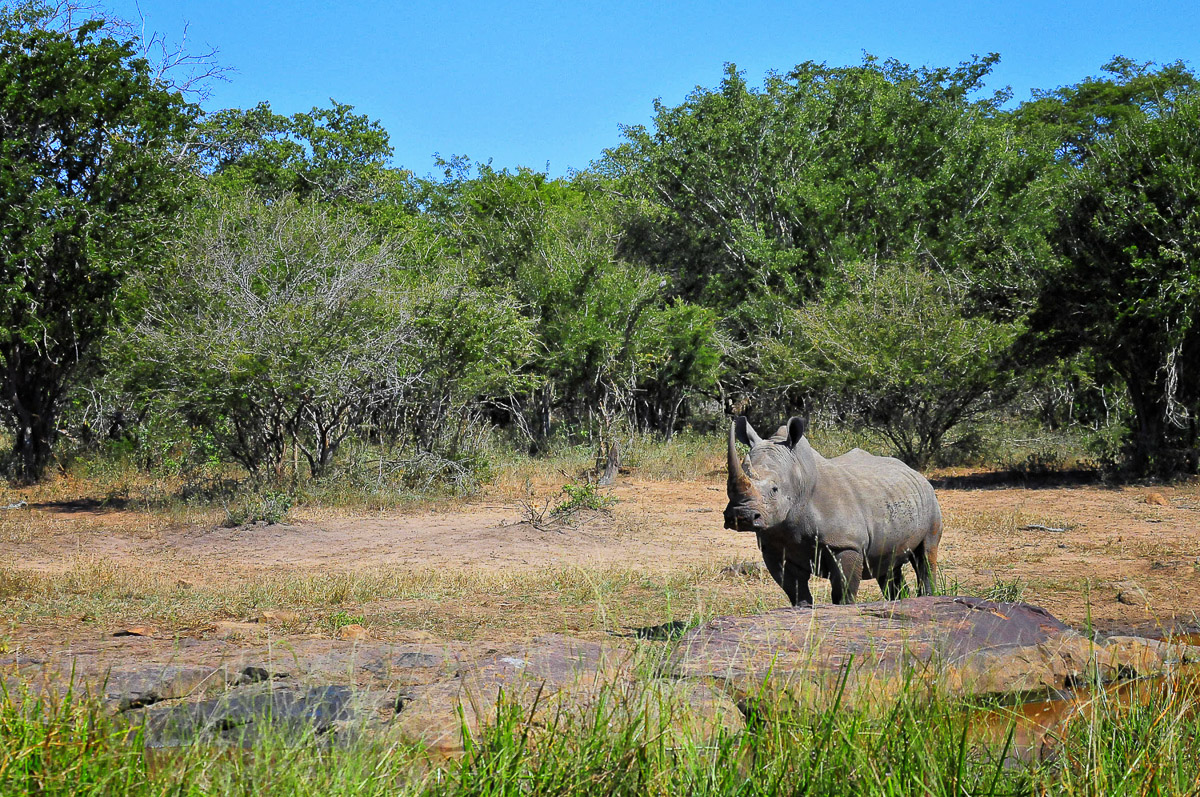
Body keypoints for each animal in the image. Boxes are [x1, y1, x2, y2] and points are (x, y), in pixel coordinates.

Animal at [723, 416, 942, 605]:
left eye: (774, 489)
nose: (741, 516)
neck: (799, 480)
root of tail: (914, 471)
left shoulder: (846, 544)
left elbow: (843, 590)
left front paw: (843, 608)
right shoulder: (775, 548)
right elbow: (795, 589)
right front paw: (803, 609)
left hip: (931, 500)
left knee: (926, 556)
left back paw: (927, 597)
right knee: (887, 565)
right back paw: (898, 601)